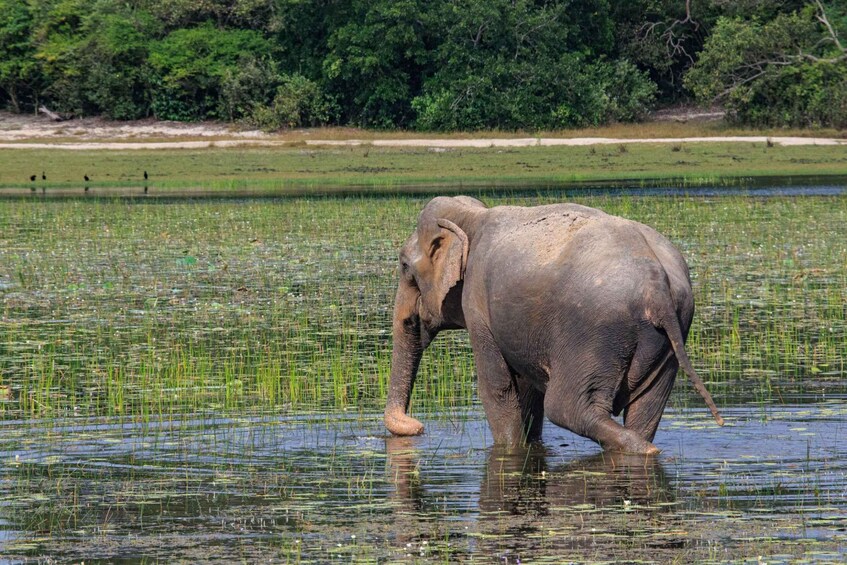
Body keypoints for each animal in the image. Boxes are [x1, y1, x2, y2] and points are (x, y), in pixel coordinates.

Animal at [383, 196, 723, 454]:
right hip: (669, 335)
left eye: (404, 266)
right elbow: (526, 390)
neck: (472, 216)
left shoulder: (478, 304)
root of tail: (657, 284)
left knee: (568, 408)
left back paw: (646, 451)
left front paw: (510, 450)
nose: (419, 426)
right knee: (646, 408)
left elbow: (499, 387)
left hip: (593, 334)